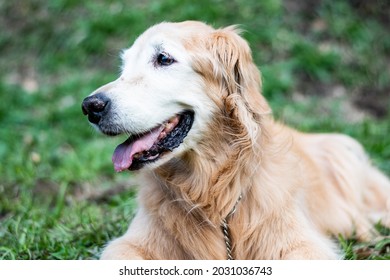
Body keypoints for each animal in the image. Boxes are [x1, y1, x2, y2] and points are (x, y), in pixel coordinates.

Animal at [80, 21, 388, 260]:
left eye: (164, 59)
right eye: (123, 67)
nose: (90, 106)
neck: (211, 190)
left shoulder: (302, 244)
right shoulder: (131, 243)